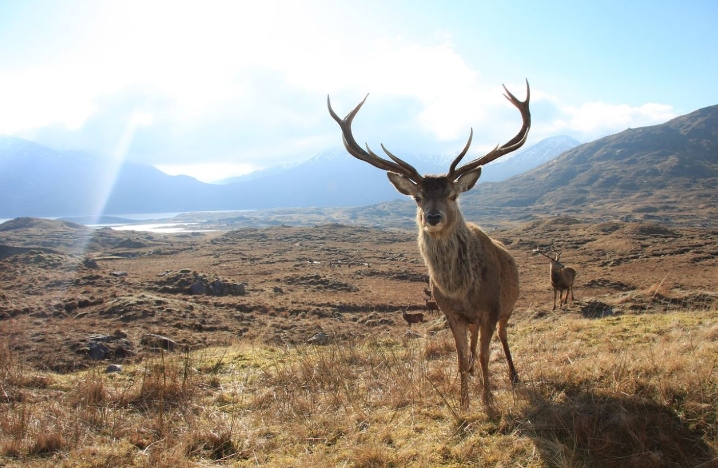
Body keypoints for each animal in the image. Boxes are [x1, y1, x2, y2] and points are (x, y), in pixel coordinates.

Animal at [330, 81, 532, 410]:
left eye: (452, 194)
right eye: (417, 197)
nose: (433, 217)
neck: (461, 290)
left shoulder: (490, 308)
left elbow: (485, 355)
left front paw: (488, 400)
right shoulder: (450, 313)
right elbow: (461, 358)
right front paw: (463, 402)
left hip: (508, 307)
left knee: (503, 337)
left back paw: (514, 376)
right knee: (474, 343)